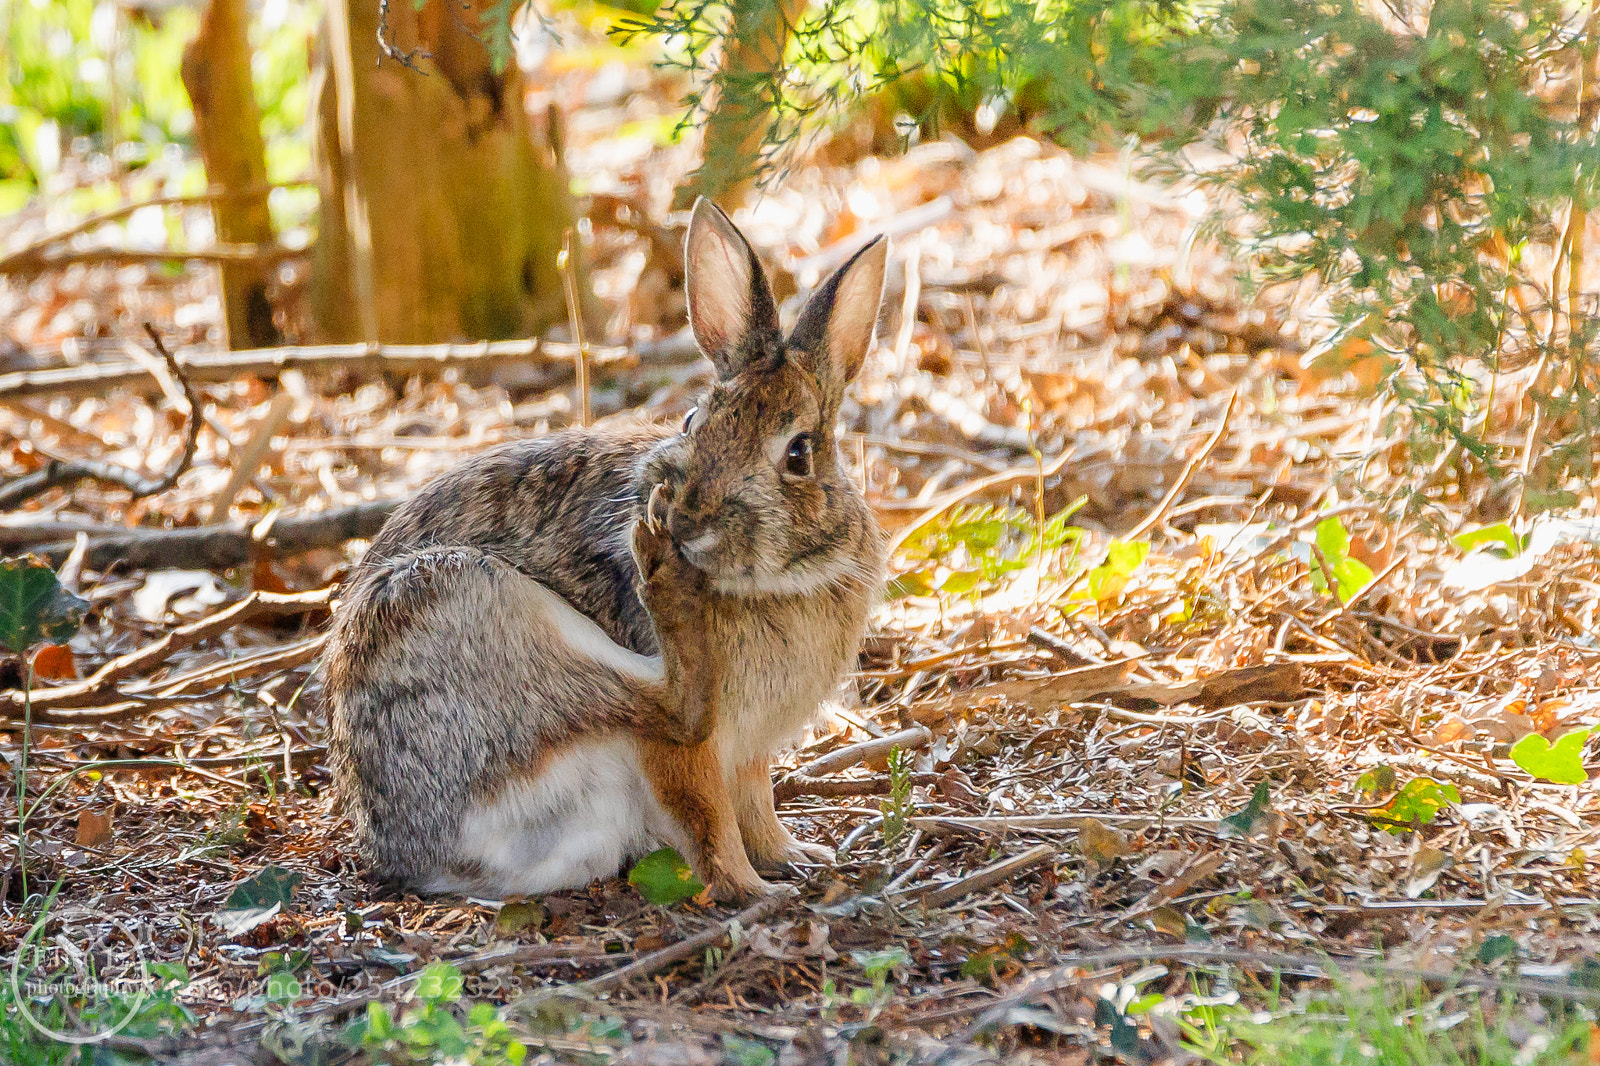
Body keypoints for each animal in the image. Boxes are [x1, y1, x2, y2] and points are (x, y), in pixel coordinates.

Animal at [323, 198, 889, 901]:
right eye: (692, 423)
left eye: (800, 454)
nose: (686, 522)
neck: (776, 582)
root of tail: (416, 855)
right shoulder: (693, 758)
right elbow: (709, 816)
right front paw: (755, 888)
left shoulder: (752, 753)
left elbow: (756, 806)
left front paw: (796, 857)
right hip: (475, 605)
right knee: (668, 705)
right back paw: (663, 583)